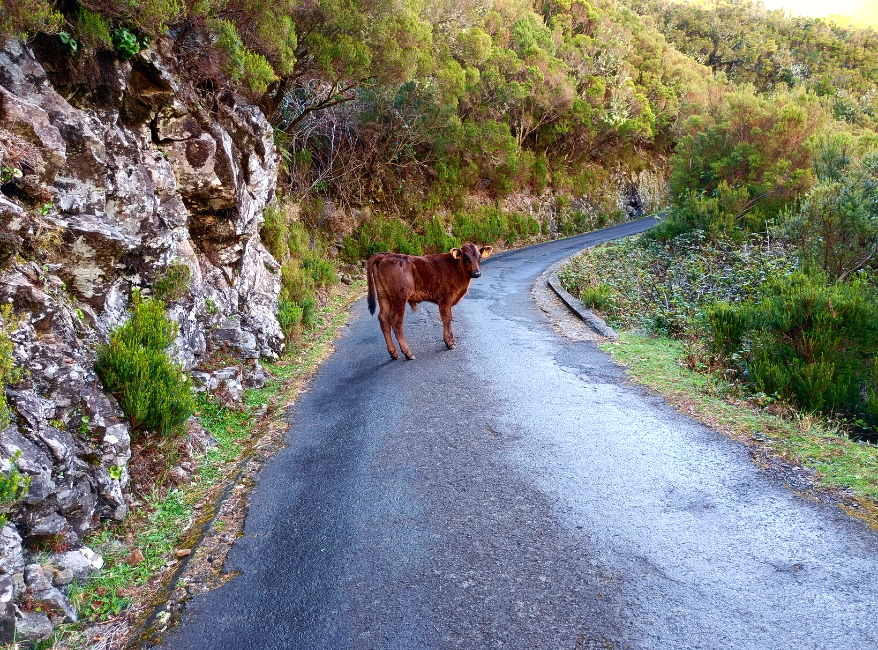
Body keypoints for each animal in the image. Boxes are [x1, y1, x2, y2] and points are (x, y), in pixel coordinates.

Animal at [368, 242, 496, 356]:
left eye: (479, 257)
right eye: (465, 257)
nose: (477, 273)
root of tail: (387, 255)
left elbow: (449, 319)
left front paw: (452, 340)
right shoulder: (446, 299)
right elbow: (447, 319)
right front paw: (449, 343)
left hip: (383, 296)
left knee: (383, 318)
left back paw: (393, 353)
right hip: (399, 298)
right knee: (396, 321)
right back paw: (408, 353)